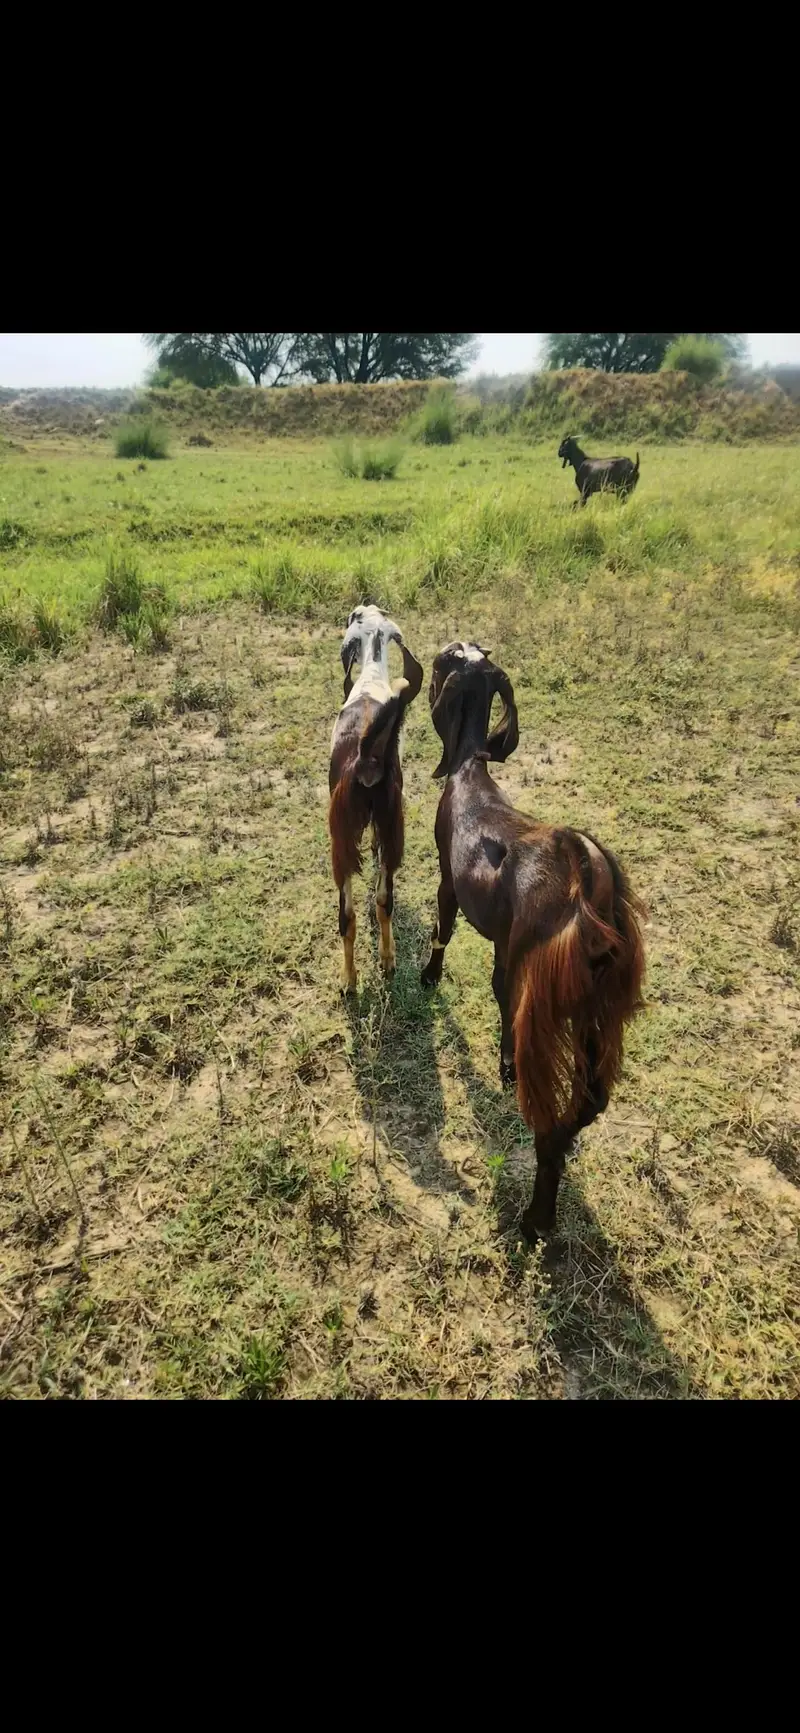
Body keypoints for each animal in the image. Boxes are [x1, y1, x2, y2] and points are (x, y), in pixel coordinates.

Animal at [420, 642, 645, 1241]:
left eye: (444, 659)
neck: (471, 774)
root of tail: (588, 889)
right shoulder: (507, 946)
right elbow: (498, 991)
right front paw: (499, 1061)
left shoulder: (449, 881)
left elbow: (443, 929)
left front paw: (428, 978)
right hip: (594, 1013)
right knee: (587, 1104)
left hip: (547, 1021)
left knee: (547, 1120)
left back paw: (535, 1220)